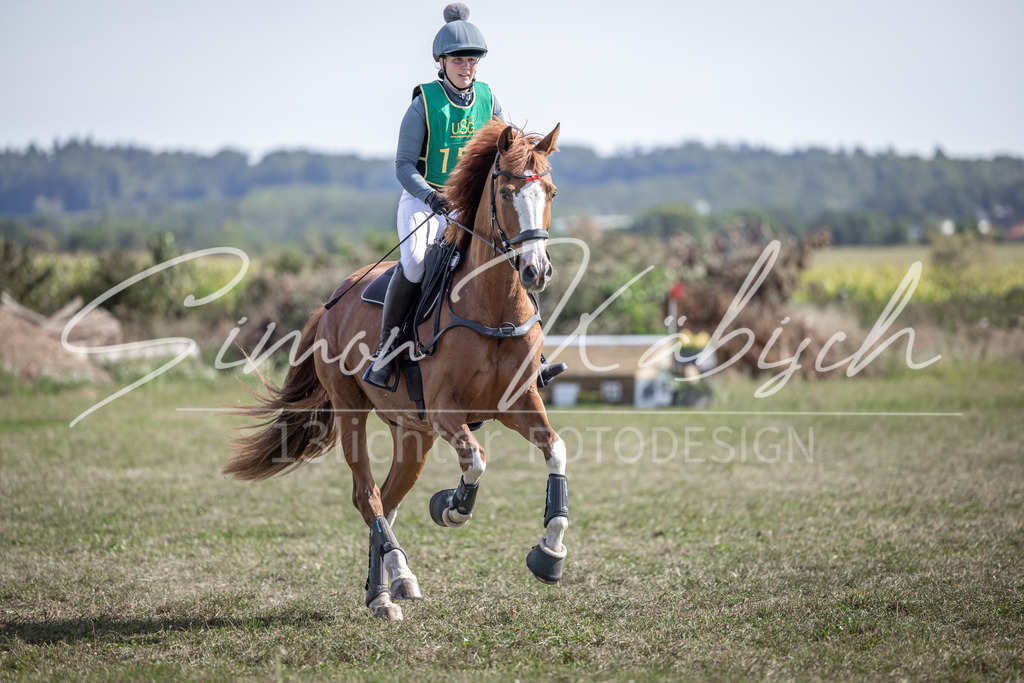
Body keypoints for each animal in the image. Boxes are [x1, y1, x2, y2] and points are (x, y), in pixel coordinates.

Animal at [223, 119, 570, 621]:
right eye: (506, 194)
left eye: (551, 192)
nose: (535, 271)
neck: (492, 304)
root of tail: (332, 301)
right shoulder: (447, 413)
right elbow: (476, 460)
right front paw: (451, 507)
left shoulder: (518, 402)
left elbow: (555, 452)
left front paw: (549, 553)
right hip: (352, 411)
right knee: (367, 495)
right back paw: (396, 577)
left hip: (413, 432)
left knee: (386, 500)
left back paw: (383, 590)